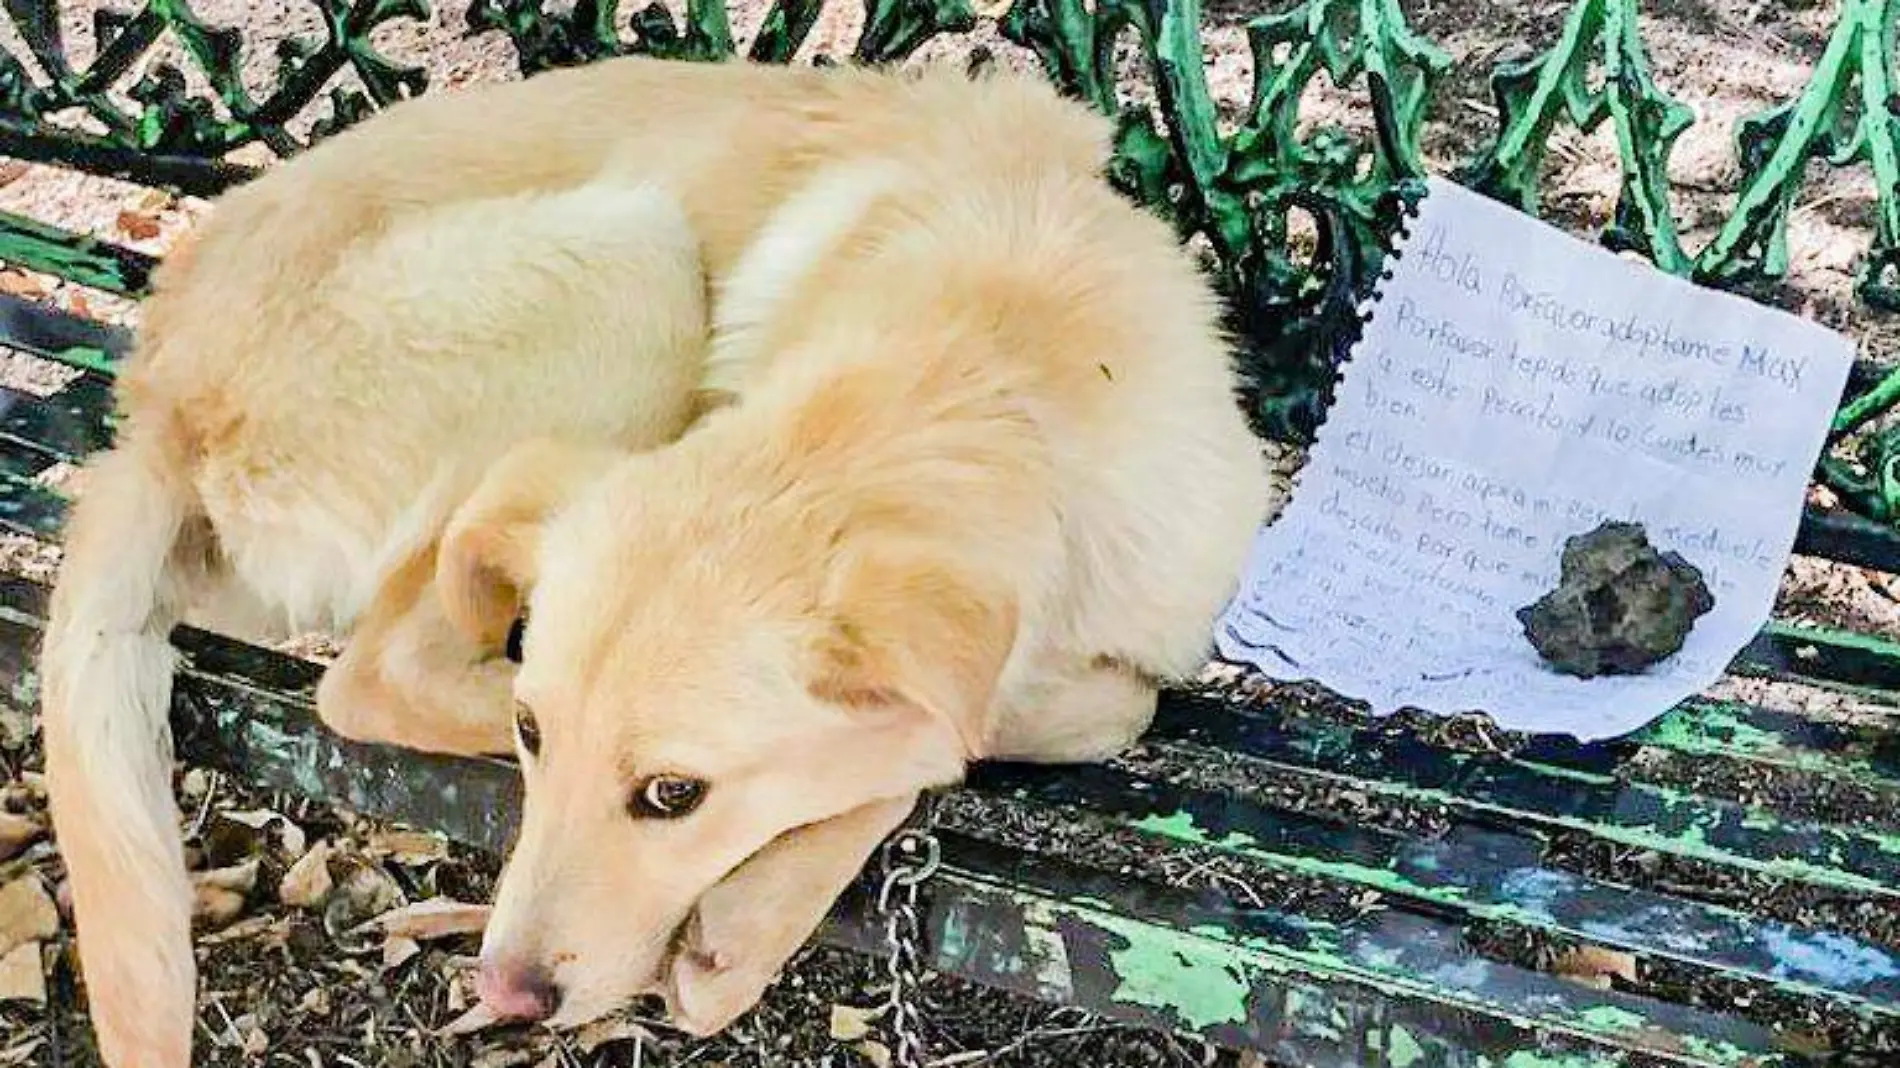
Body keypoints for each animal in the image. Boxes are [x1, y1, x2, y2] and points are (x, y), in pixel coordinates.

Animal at [33, 56, 1276, 1064]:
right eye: (532, 735)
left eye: (674, 795)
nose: (505, 993)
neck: (987, 369)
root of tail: (157, 390)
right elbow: (971, 734)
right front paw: (762, 908)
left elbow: (1051, 713)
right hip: (632, 260)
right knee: (373, 674)